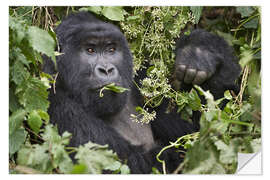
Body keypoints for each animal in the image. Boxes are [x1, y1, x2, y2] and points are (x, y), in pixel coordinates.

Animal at [43, 11, 242, 174]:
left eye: (111, 49)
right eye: (90, 50)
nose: (107, 70)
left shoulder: (141, 82)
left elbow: (205, 130)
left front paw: (200, 51)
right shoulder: (59, 105)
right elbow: (133, 164)